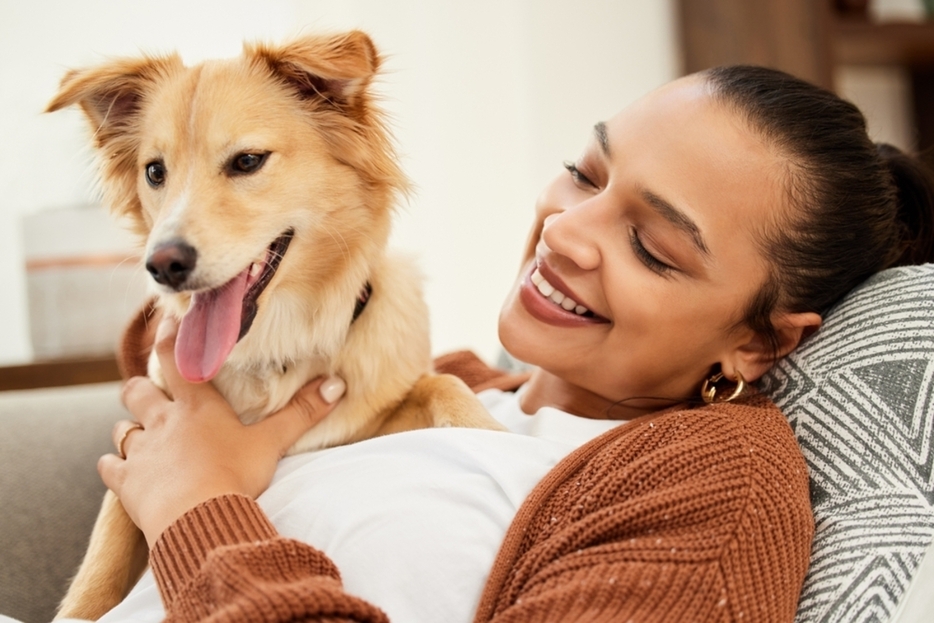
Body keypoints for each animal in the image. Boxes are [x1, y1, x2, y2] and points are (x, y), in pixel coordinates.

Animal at [47, 30, 500, 623]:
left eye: (247, 161)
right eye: (154, 172)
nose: (162, 265)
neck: (274, 348)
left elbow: (444, 383)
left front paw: (493, 436)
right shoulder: (136, 452)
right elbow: (98, 571)